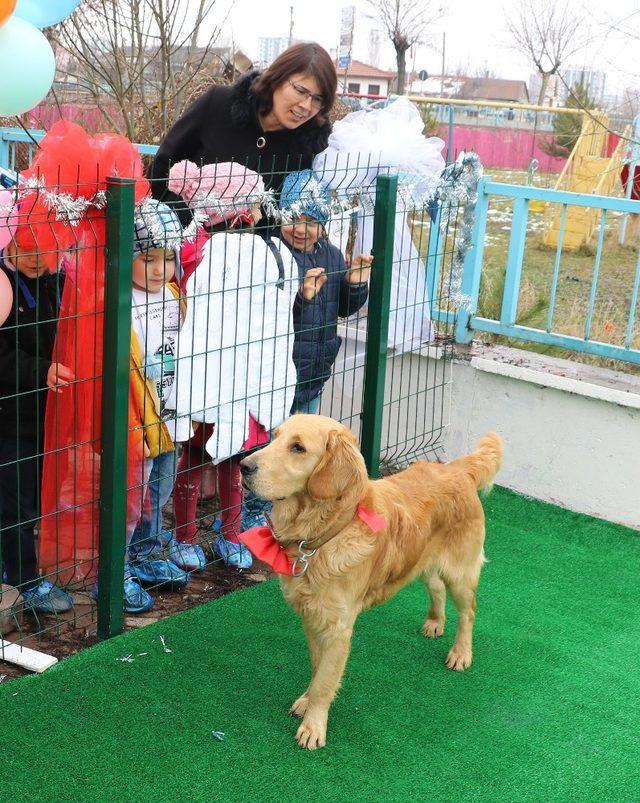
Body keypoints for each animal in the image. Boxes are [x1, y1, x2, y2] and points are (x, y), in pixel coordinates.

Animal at [238, 418, 502, 752]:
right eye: (274, 437)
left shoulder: (337, 627)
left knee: (468, 612)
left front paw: (314, 725)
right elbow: (317, 667)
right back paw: (434, 622)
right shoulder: (311, 618)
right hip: (420, 559)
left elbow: (325, 680)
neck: (325, 534)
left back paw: (461, 653)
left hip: (460, 573)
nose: (243, 466)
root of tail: (456, 468)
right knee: (435, 586)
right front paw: (307, 701)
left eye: (298, 448)